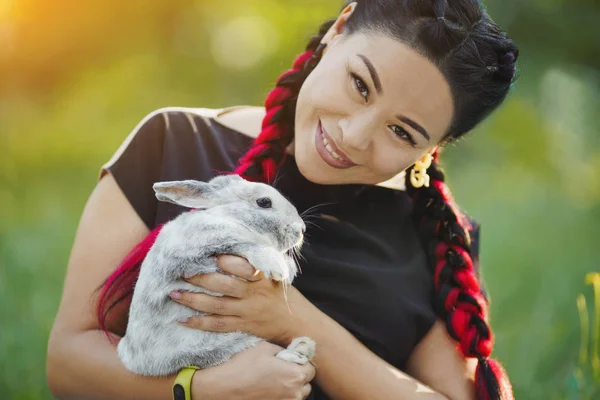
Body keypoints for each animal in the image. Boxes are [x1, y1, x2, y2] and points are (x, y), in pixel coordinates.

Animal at [115, 174, 316, 376]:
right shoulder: (205, 244)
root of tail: (134, 363)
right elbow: (245, 244)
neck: (230, 218)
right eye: (264, 202)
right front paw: (278, 268)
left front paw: (289, 270)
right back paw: (300, 351)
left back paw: (303, 347)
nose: (302, 229)